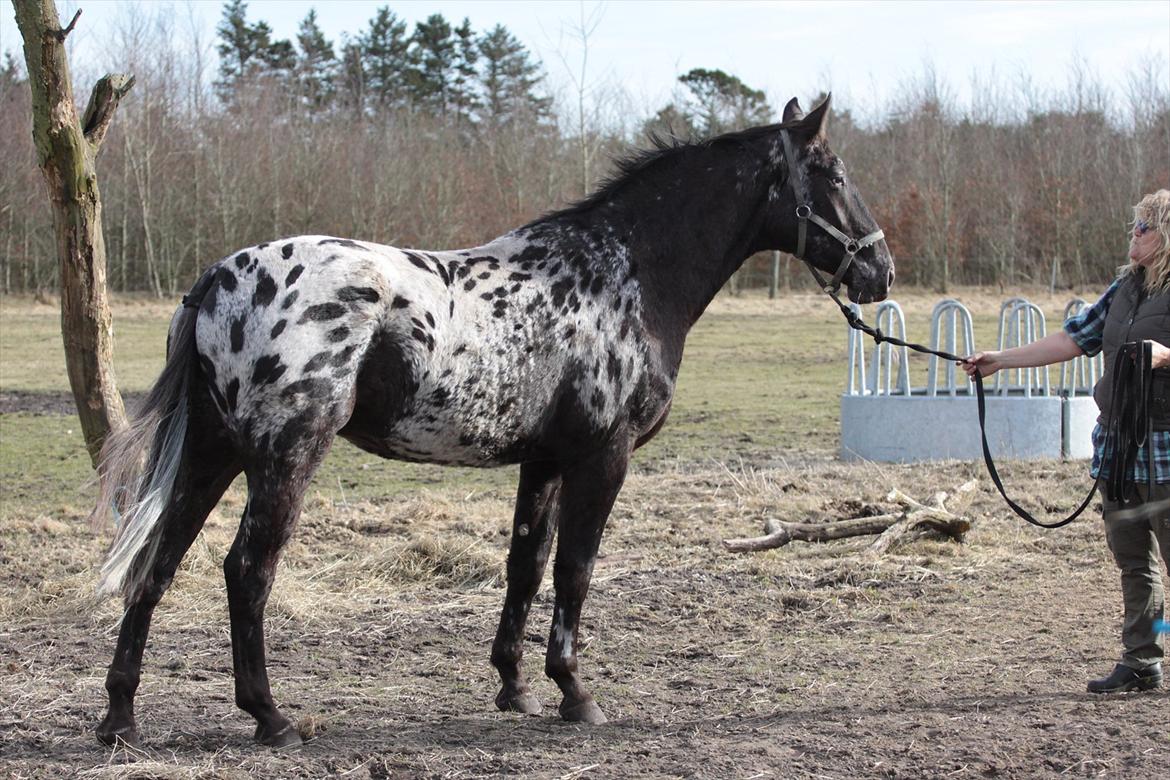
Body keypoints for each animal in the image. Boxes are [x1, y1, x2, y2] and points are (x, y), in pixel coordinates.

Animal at [93, 94, 893, 748]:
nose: (878, 271)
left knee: (157, 564)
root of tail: (216, 278)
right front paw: (575, 693)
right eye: (832, 173)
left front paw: (514, 685)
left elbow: (526, 564)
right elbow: (575, 569)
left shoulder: (544, 460)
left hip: (213, 453)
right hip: (283, 456)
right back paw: (271, 717)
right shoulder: (604, 457)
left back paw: (120, 717)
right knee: (246, 570)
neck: (627, 275)